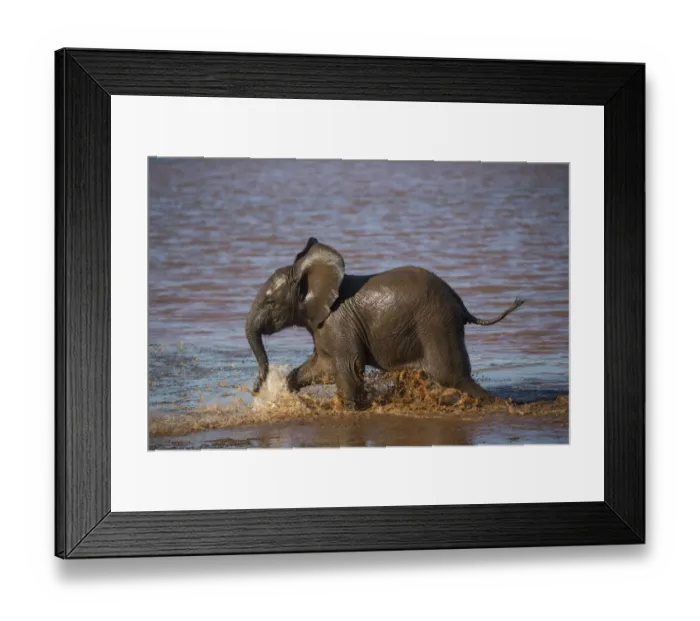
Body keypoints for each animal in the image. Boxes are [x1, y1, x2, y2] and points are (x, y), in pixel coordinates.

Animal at [245, 237, 525, 409]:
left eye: (269, 302)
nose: (256, 390)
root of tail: (461, 303)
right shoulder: (323, 326)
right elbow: (322, 366)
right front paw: (291, 391)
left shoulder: (339, 324)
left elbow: (349, 368)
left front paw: (348, 410)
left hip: (437, 323)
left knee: (452, 375)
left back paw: (501, 404)